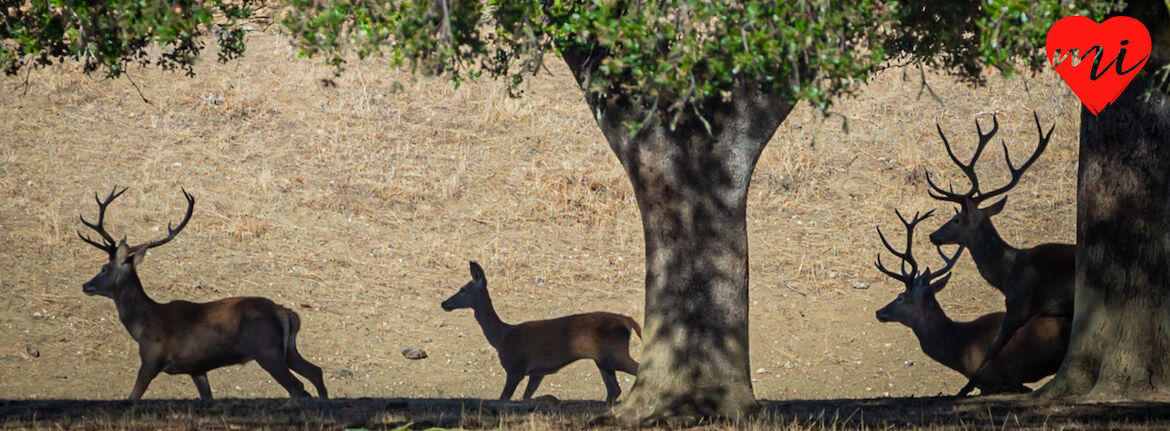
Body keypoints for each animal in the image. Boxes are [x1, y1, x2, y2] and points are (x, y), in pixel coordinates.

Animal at [78, 187, 327, 400]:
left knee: (298, 387)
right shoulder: (197, 368)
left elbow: (133, 397)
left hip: (267, 351)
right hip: (287, 351)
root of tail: (286, 313)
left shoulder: (150, 360)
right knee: (316, 372)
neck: (143, 324)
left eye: (104, 268)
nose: (85, 285)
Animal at [439, 261, 641, 402]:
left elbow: (504, 399)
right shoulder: (537, 372)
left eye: (462, 289)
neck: (501, 337)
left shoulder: (516, 367)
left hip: (614, 353)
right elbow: (525, 397)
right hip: (602, 360)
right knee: (614, 390)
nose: (444, 303)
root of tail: (627, 321)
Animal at [921, 113, 1076, 395]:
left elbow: (993, 348)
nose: (933, 235)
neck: (1007, 274)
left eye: (956, 218)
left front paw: (965, 389)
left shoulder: (1019, 305)